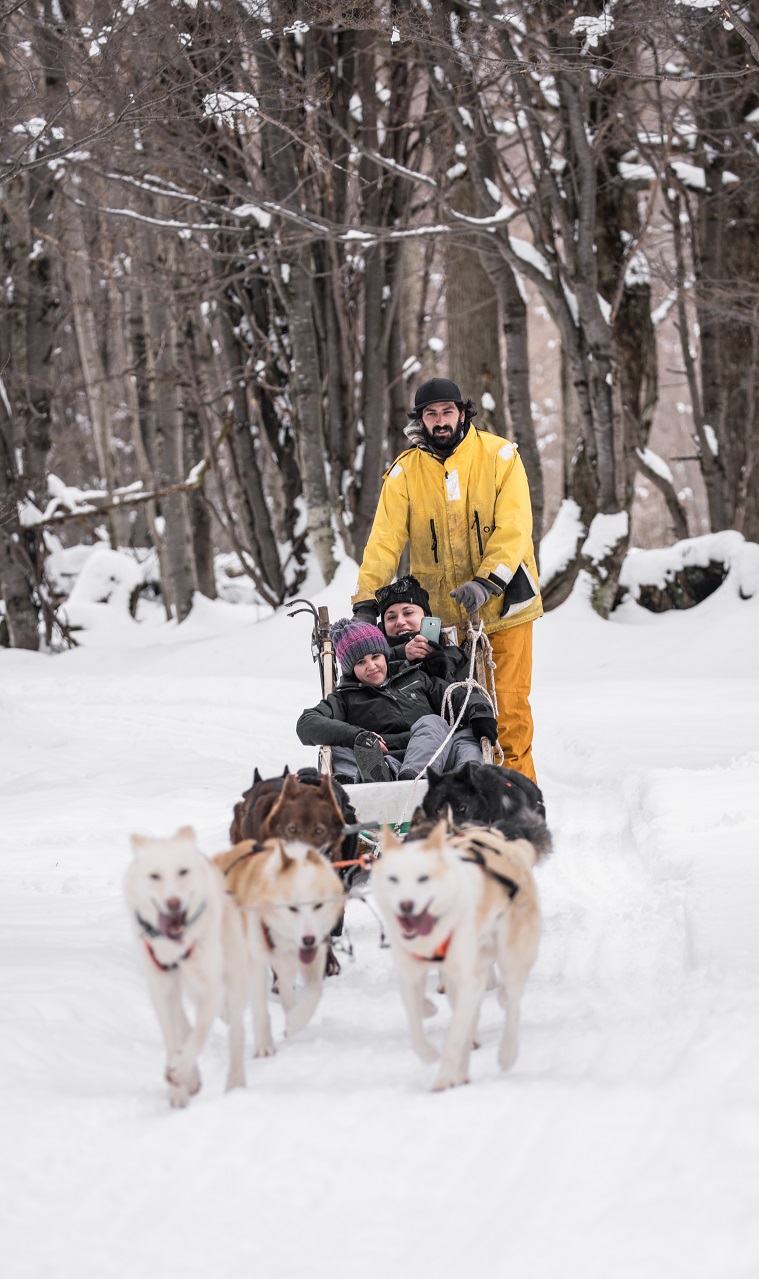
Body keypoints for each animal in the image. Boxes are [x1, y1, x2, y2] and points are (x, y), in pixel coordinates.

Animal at [124, 828, 248, 1110]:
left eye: (183, 872)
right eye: (155, 876)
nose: (173, 903)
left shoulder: (213, 989)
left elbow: (200, 1034)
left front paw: (181, 1070)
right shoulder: (160, 989)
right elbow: (174, 1036)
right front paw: (180, 1087)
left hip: (234, 981)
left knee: (236, 1034)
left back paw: (236, 1083)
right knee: (182, 1020)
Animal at [212, 839, 343, 1059]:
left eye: (318, 905)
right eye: (292, 908)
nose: (308, 940)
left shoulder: (313, 957)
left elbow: (315, 990)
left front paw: (296, 1021)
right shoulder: (255, 961)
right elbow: (259, 1008)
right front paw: (264, 1046)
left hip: (284, 964)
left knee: (286, 987)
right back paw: (226, 1012)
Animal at [371, 818, 537, 1089]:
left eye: (423, 878)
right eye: (393, 879)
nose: (406, 905)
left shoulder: (467, 976)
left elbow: (456, 1031)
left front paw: (446, 1076)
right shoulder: (413, 973)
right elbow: (417, 1017)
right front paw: (432, 1049)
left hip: (513, 954)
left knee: (511, 1000)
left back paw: (506, 1052)